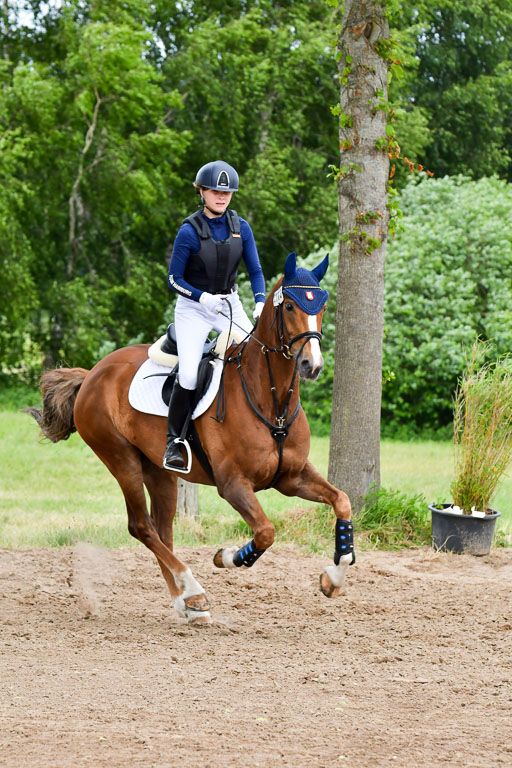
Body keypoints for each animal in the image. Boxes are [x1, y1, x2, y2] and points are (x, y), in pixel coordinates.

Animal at [28, 252, 354, 624]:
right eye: (289, 307)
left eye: (323, 305)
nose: (311, 365)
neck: (272, 402)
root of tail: (93, 373)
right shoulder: (233, 484)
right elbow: (265, 532)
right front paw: (226, 557)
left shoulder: (291, 478)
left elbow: (342, 501)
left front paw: (333, 579)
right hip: (121, 459)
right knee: (141, 527)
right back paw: (194, 590)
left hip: (159, 471)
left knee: (162, 530)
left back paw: (187, 603)